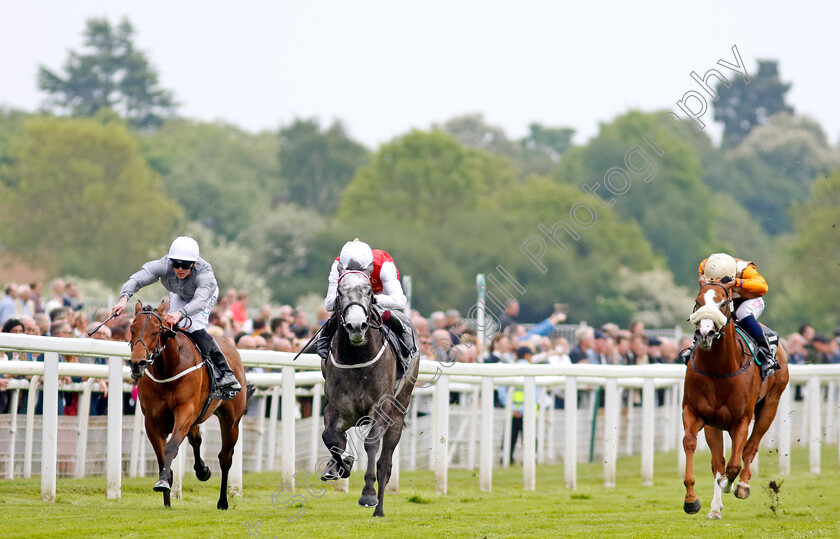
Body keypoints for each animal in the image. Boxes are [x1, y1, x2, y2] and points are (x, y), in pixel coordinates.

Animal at [126, 304, 248, 510]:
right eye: (132, 329)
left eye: (156, 331)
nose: (137, 363)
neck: (168, 369)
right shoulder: (152, 420)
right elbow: (161, 456)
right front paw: (166, 494)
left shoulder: (184, 411)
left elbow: (171, 446)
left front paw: (163, 482)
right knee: (196, 440)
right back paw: (202, 470)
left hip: (231, 420)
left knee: (225, 458)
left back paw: (223, 501)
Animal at [684, 278, 788, 520]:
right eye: (698, 302)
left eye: (723, 303)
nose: (705, 334)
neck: (719, 368)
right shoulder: (696, 413)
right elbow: (692, 444)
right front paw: (692, 499)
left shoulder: (741, 419)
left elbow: (733, 465)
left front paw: (729, 484)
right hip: (715, 423)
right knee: (719, 461)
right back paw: (715, 508)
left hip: (770, 405)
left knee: (750, 447)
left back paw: (742, 486)